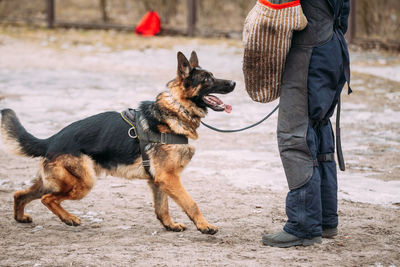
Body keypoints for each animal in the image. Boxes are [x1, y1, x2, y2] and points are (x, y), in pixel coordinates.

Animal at [0, 51, 234, 236]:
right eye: (207, 79)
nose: (234, 83)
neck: (176, 108)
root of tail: (51, 139)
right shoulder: (169, 177)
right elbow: (191, 203)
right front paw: (205, 226)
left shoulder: (158, 180)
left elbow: (162, 208)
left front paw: (170, 225)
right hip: (83, 183)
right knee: (48, 198)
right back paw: (69, 218)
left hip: (57, 181)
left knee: (21, 194)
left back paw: (21, 217)